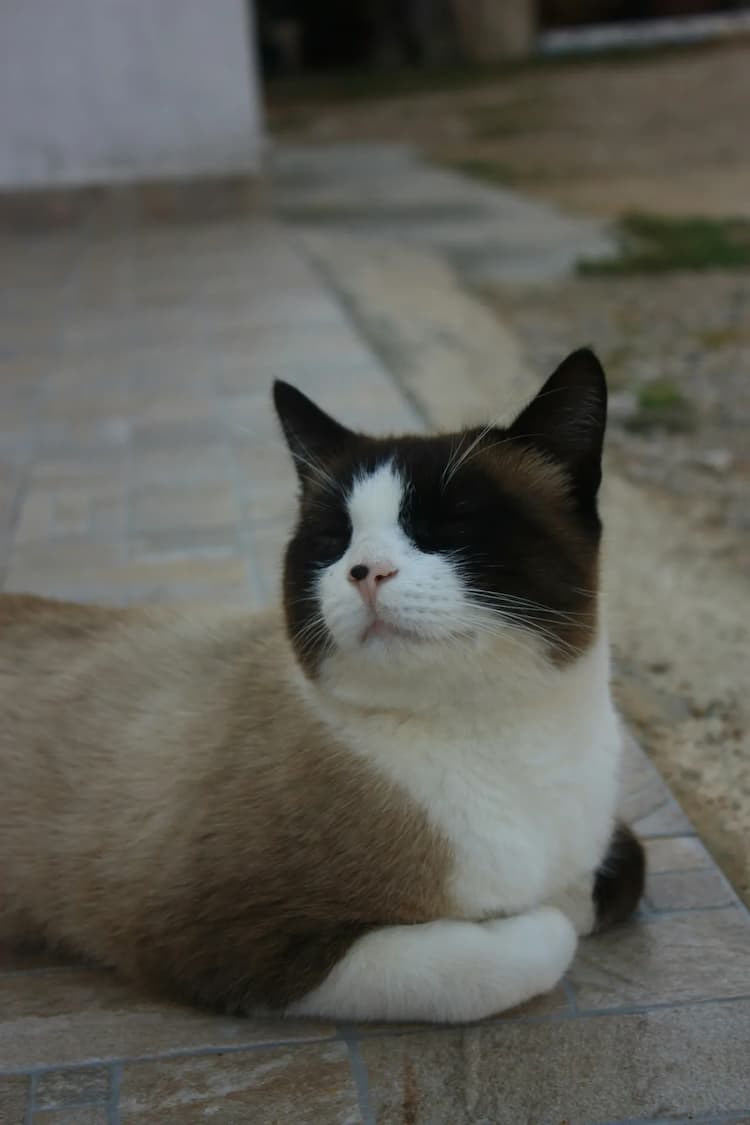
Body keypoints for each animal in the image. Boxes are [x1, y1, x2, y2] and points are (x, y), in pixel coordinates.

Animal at [0, 346, 647, 1026]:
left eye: (449, 526)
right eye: (335, 540)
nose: (366, 572)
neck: (499, 736)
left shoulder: (607, 843)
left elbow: (622, 870)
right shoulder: (246, 942)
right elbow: (535, 942)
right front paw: (535, 911)